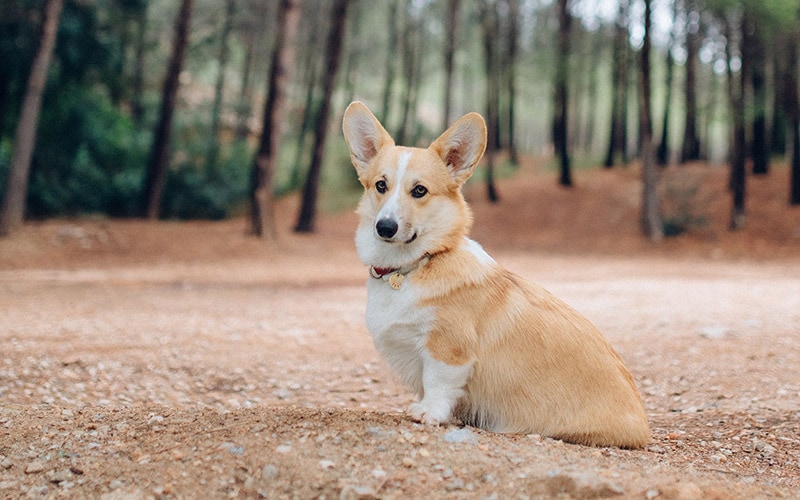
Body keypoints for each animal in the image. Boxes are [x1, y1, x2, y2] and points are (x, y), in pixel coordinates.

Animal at [342, 101, 648, 450]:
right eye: (381, 185)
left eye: (419, 190)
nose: (385, 227)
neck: (416, 264)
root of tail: (643, 429)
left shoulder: (449, 349)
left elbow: (437, 382)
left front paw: (429, 412)